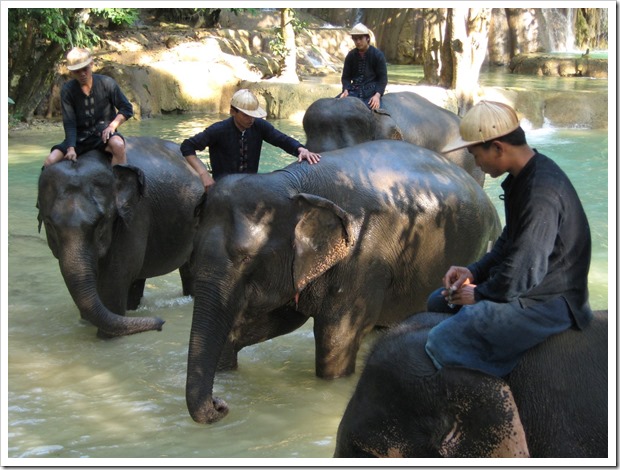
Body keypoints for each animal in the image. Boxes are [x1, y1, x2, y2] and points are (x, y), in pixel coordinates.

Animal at [37, 136, 203, 338]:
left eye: (101, 222)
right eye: (49, 224)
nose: (161, 323)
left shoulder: (134, 216)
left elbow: (115, 279)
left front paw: (106, 337)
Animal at [185, 140, 504, 422]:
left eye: (246, 259)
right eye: (194, 250)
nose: (220, 404)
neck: (291, 184)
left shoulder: (365, 255)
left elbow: (336, 336)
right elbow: (279, 321)